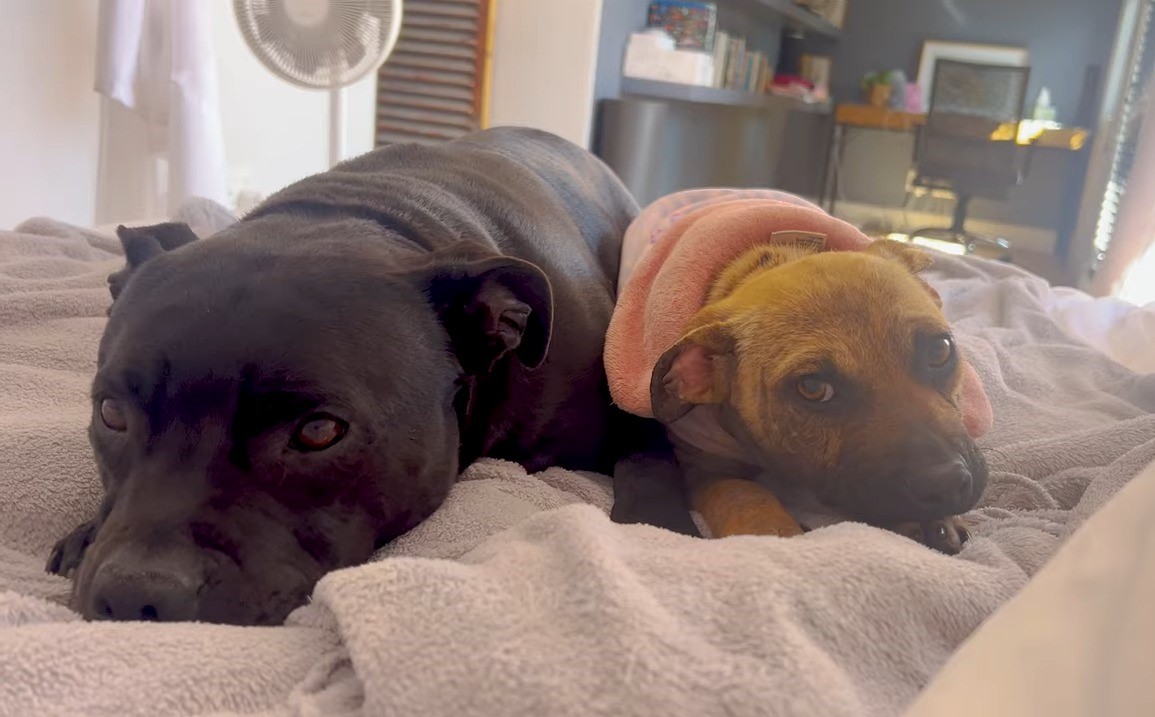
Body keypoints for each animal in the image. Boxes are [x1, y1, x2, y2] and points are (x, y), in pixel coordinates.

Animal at [651, 237, 984, 551]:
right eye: (813, 389)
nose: (946, 485)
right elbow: (747, 496)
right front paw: (774, 535)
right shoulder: (703, 468)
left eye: (939, 350)